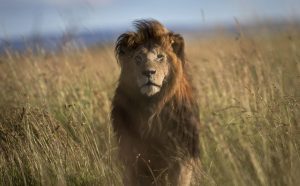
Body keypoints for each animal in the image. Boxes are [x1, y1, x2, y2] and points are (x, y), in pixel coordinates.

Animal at [111, 19, 200, 186]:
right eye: (138, 58)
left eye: (160, 57)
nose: (148, 72)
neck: (152, 108)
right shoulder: (133, 158)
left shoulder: (182, 157)